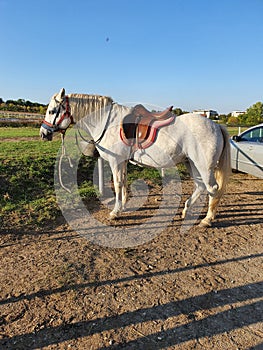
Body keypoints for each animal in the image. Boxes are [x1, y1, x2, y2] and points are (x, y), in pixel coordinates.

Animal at [40, 88, 232, 227]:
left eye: (52, 111)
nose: (43, 133)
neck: (107, 122)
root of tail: (216, 125)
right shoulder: (122, 162)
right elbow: (124, 181)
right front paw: (124, 205)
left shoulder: (116, 161)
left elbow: (117, 184)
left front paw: (115, 212)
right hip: (190, 163)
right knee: (200, 186)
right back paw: (186, 210)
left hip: (203, 166)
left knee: (212, 188)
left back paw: (207, 219)